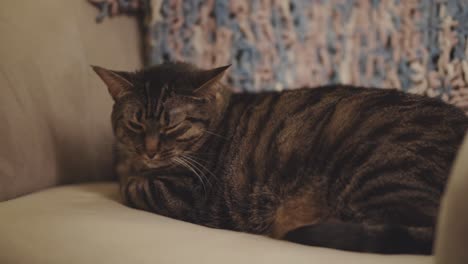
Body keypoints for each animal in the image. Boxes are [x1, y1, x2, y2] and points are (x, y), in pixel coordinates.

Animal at [92, 62, 468, 254]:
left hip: (381, 176)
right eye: (136, 122)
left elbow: (132, 185)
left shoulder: (184, 195)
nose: (149, 149)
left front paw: (128, 172)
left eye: (173, 125)